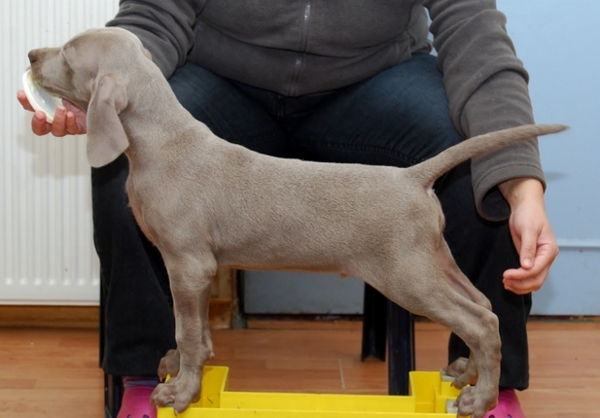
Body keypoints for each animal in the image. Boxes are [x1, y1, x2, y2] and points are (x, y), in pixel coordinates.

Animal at [27, 27, 564, 416]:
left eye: (69, 53)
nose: (31, 54)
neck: (161, 142)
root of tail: (413, 176)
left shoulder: (188, 263)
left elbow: (187, 330)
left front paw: (181, 392)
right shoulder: (197, 270)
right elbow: (193, 329)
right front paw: (182, 370)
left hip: (406, 274)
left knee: (482, 320)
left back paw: (481, 398)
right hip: (433, 260)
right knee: (484, 304)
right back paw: (466, 372)